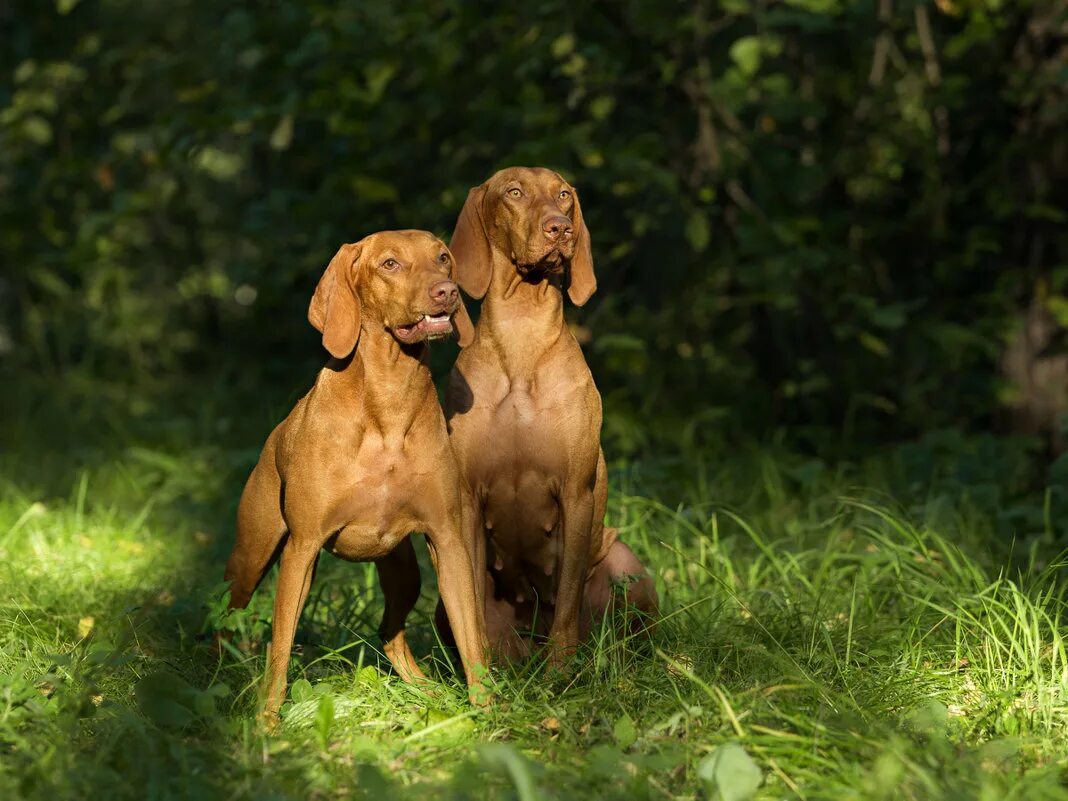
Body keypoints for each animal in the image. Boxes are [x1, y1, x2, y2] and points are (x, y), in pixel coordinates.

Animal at [229, 228, 491, 717]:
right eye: (390, 264)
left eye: (443, 258)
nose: (446, 292)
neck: (389, 400)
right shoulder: (302, 548)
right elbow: (280, 648)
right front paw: (267, 723)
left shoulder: (448, 540)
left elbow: (472, 641)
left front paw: (490, 712)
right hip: (252, 554)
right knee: (227, 610)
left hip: (405, 574)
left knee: (389, 632)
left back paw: (426, 691)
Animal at [435, 167, 653, 666]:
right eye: (514, 192)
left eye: (564, 195)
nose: (561, 228)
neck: (522, 331)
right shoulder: (468, 500)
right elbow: (472, 602)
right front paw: (486, 670)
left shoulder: (575, 492)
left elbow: (567, 599)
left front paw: (560, 671)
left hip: (625, 563)